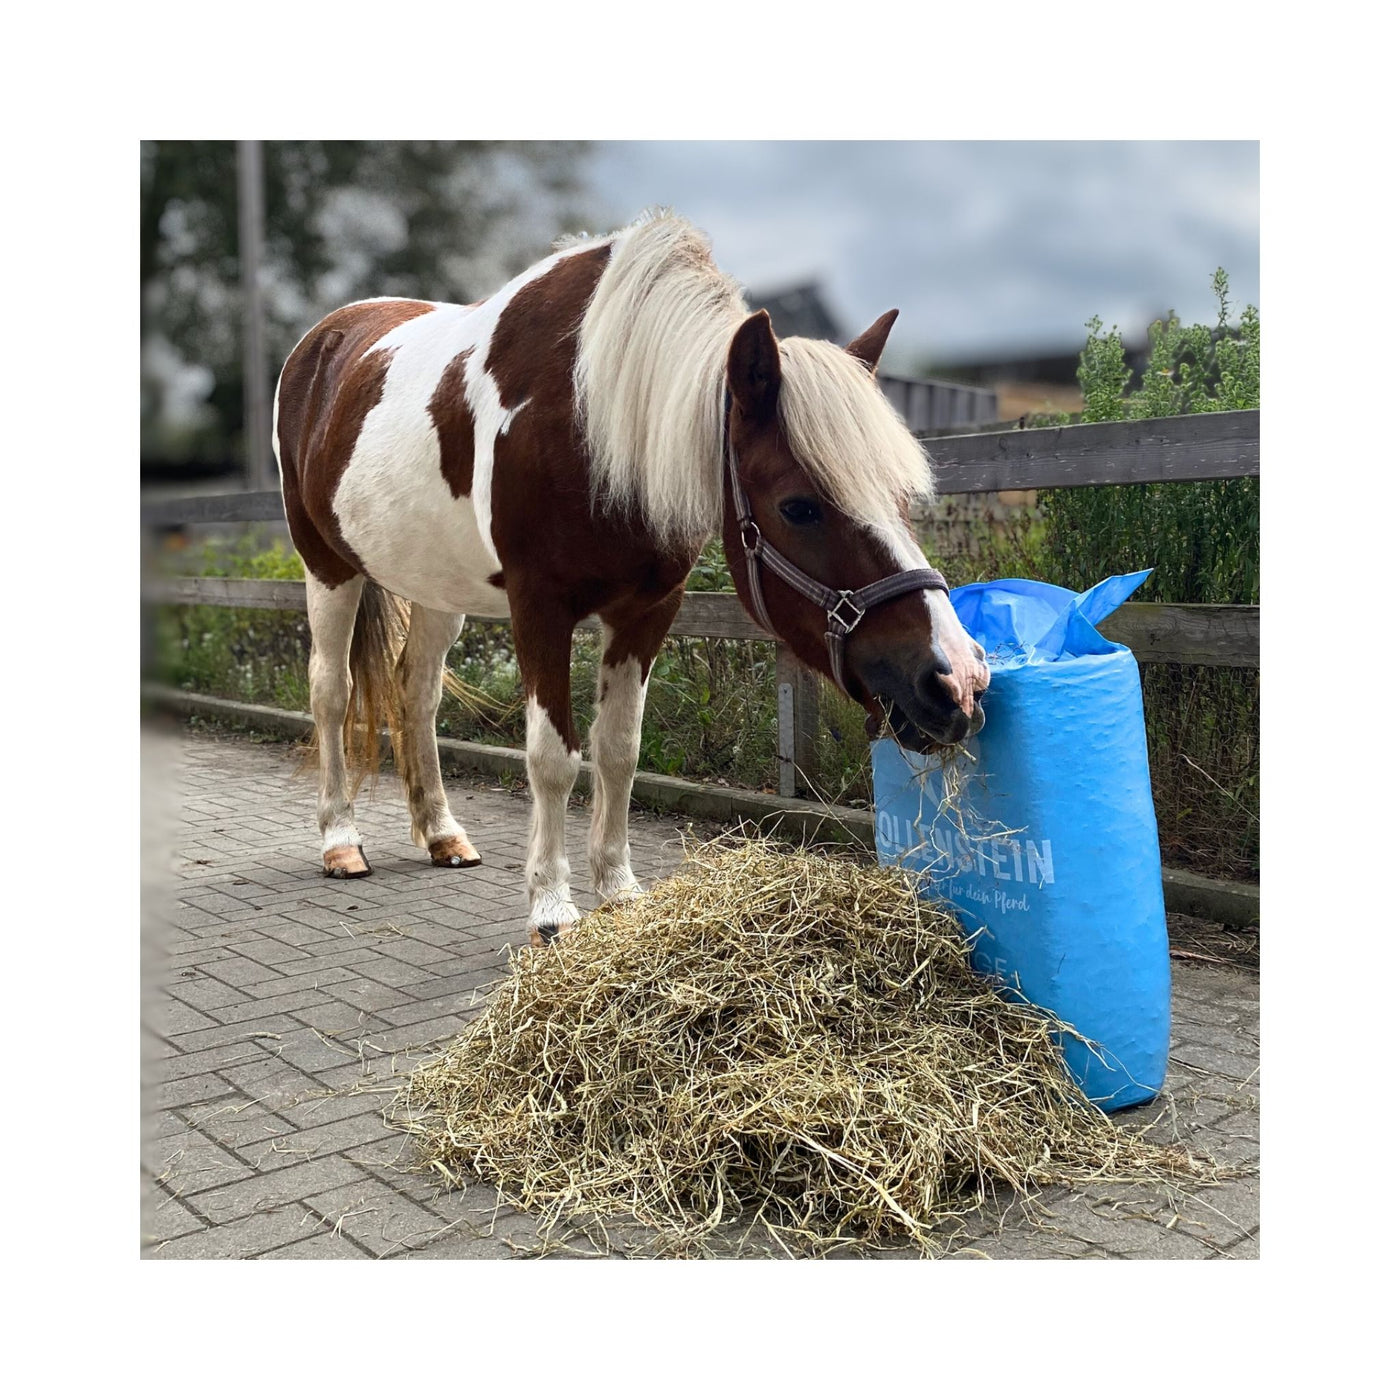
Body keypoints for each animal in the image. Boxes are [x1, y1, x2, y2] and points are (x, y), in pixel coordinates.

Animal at [273, 212, 990, 946]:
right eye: (799, 506)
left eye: (902, 498)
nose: (956, 680)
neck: (589, 415)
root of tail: (324, 342)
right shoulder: (541, 608)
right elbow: (553, 756)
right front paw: (551, 907)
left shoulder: (647, 612)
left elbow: (618, 749)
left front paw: (619, 893)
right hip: (326, 567)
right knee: (332, 692)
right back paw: (340, 842)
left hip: (436, 587)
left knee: (416, 697)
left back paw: (443, 834)